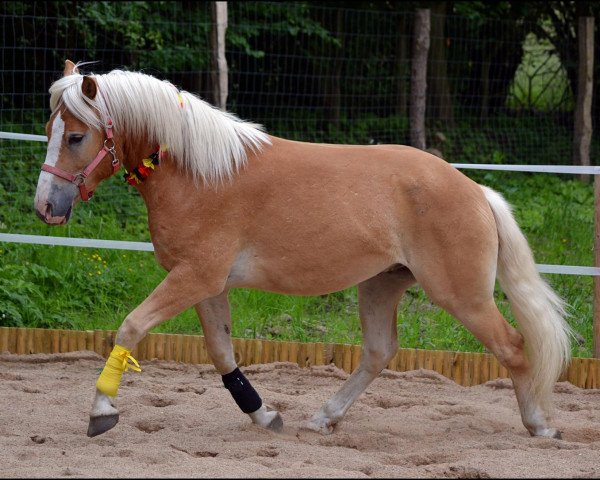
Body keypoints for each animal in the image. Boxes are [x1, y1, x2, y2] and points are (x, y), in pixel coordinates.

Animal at [32, 59, 572, 438]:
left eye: (76, 136)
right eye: (49, 131)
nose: (45, 207)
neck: (202, 175)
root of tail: (475, 190)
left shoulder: (195, 277)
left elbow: (130, 326)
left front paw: (102, 410)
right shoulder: (206, 284)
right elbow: (221, 353)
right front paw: (264, 415)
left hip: (461, 296)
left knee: (514, 347)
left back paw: (540, 425)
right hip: (381, 285)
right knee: (379, 352)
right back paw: (323, 417)